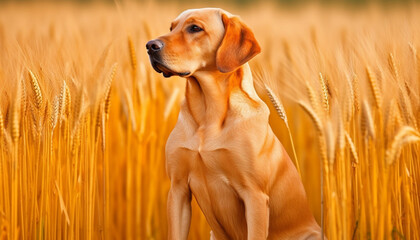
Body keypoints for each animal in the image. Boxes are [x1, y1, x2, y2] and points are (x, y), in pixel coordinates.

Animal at [146, 7, 324, 240]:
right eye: (171, 27)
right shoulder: (178, 190)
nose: (150, 46)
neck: (208, 115)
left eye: (195, 28)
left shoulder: (254, 195)